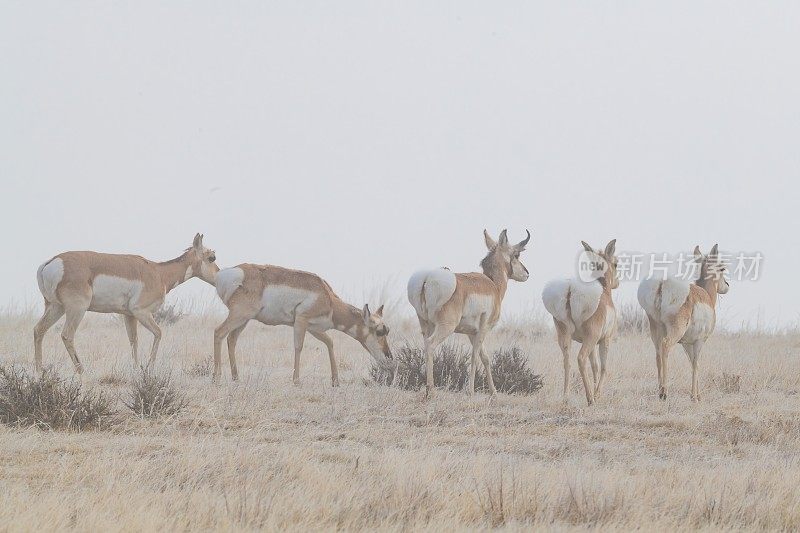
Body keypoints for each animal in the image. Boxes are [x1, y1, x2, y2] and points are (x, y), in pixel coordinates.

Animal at [34, 235, 219, 372]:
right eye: (212, 257)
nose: (220, 276)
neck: (158, 273)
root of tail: (52, 262)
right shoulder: (141, 312)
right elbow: (158, 333)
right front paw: (149, 367)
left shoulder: (129, 316)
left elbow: (133, 340)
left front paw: (136, 369)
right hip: (77, 310)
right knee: (67, 335)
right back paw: (81, 370)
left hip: (56, 307)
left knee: (38, 330)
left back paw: (39, 370)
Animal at [211, 264, 396, 384]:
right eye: (379, 331)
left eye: (387, 330)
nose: (389, 358)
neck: (327, 298)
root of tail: (230, 272)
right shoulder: (301, 321)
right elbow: (298, 347)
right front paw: (296, 380)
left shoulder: (314, 328)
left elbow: (330, 342)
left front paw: (335, 380)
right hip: (239, 316)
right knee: (218, 332)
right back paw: (216, 378)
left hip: (244, 320)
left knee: (231, 339)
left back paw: (236, 377)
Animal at [406, 227, 532, 396]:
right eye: (516, 254)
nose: (527, 273)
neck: (493, 286)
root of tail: (427, 278)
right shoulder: (483, 329)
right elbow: (474, 356)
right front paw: (471, 391)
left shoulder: (472, 333)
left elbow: (485, 358)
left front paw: (494, 393)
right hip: (446, 327)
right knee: (431, 345)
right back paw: (430, 390)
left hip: (426, 325)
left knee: (426, 345)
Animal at [544, 239, 620, 406]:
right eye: (616, 263)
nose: (617, 283)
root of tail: (570, 289)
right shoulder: (604, 340)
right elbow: (603, 367)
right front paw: (597, 394)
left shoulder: (592, 343)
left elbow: (595, 367)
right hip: (590, 338)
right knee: (581, 358)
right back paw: (590, 398)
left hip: (564, 335)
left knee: (567, 362)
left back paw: (566, 397)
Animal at [636, 244, 732, 400]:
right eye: (722, 268)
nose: (727, 285)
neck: (705, 295)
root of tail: (662, 282)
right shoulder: (699, 341)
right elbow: (696, 364)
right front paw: (694, 397)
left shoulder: (687, 344)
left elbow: (691, 362)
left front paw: (698, 395)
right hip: (675, 331)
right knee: (665, 346)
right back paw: (664, 392)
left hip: (655, 327)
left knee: (658, 353)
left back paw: (660, 389)